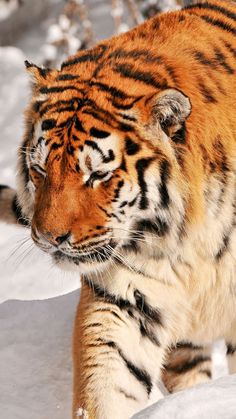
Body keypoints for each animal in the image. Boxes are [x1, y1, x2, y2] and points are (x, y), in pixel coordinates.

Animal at [0, 0, 236, 418]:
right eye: (40, 169)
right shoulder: (123, 298)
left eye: (97, 174)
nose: (48, 239)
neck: (190, 239)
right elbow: (107, 381)